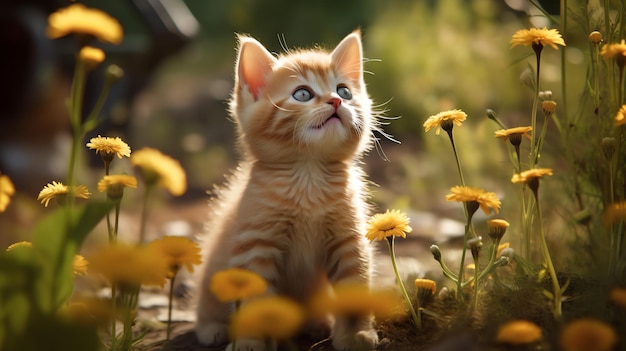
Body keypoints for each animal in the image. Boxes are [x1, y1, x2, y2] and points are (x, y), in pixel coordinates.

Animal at [195, 30, 380, 351]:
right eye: (302, 94)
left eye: (344, 91)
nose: (335, 101)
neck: (308, 173)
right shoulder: (255, 246)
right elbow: (254, 301)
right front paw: (250, 341)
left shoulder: (349, 240)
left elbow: (353, 289)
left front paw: (356, 335)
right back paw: (212, 328)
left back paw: (315, 323)